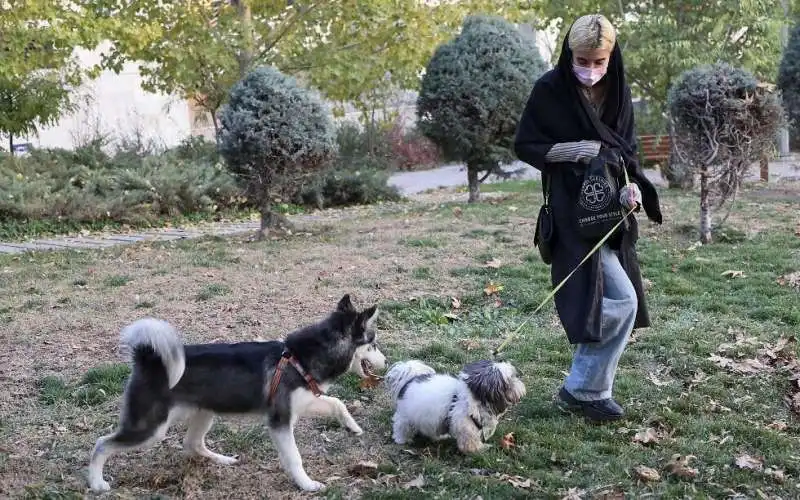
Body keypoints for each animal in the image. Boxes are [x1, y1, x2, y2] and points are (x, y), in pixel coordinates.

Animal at [86, 294, 384, 494]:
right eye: (373, 344)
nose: (386, 360)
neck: (299, 358)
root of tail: (147, 359)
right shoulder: (280, 420)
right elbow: (294, 458)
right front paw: (307, 484)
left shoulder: (303, 402)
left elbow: (337, 403)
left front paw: (353, 426)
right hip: (151, 428)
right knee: (102, 444)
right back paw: (97, 483)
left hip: (204, 413)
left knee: (192, 443)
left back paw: (223, 459)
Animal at [386, 358, 528, 456]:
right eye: (511, 380)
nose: (520, 384)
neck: (473, 396)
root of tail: (409, 379)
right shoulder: (466, 426)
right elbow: (470, 441)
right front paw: (479, 449)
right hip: (406, 417)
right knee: (401, 426)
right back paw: (401, 439)